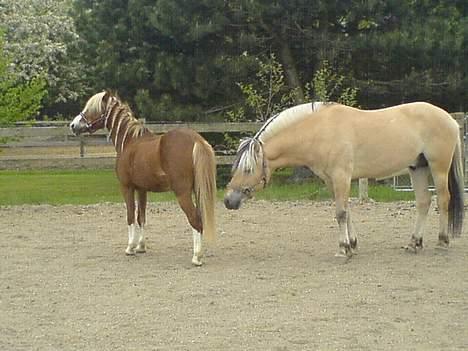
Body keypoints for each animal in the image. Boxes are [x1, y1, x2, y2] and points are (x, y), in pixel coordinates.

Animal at [69, 92, 216, 266]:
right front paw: (141, 247)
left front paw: (130, 248)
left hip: (182, 193)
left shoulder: (126, 187)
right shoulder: (142, 189)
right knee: (200, 218)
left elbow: (130, 216)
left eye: (91, 108)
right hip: (197, 190)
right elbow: (141, 217)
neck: (130, 141)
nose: (73, 125)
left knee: (195, 219)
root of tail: (196, 140)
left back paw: (196, 257)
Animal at [224, 102, 464, 258]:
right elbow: (346, 211)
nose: (228, 200)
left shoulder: (342, 176)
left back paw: (442, 241)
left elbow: (340, 213)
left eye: (247, 169)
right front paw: (352, 244)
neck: (319, 132)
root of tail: (450, 119)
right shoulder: (331, 180)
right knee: (424, 202)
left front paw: (343, 248)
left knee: (443, 199)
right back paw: (414, 244)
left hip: (438, 167)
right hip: (417, 168)